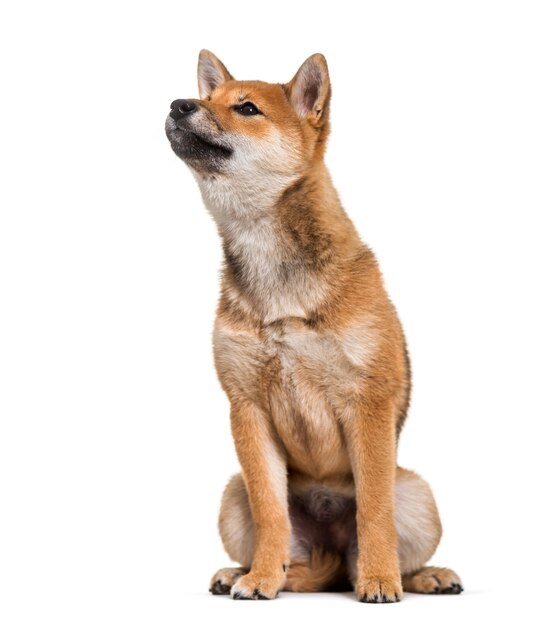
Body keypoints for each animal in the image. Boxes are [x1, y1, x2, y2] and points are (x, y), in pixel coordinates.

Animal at [165, 50, 464, 600]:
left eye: (246, 108)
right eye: (203, 96)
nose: (178, 104)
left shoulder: (368, 402)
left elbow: (374, 511)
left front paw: (380, 580)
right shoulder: (247, 408)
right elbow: (271, 514)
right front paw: (261, 578)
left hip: (418, 493)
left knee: (376, 550)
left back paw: (421, 575)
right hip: (232, 494)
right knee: (299, 563)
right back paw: (245, 572)